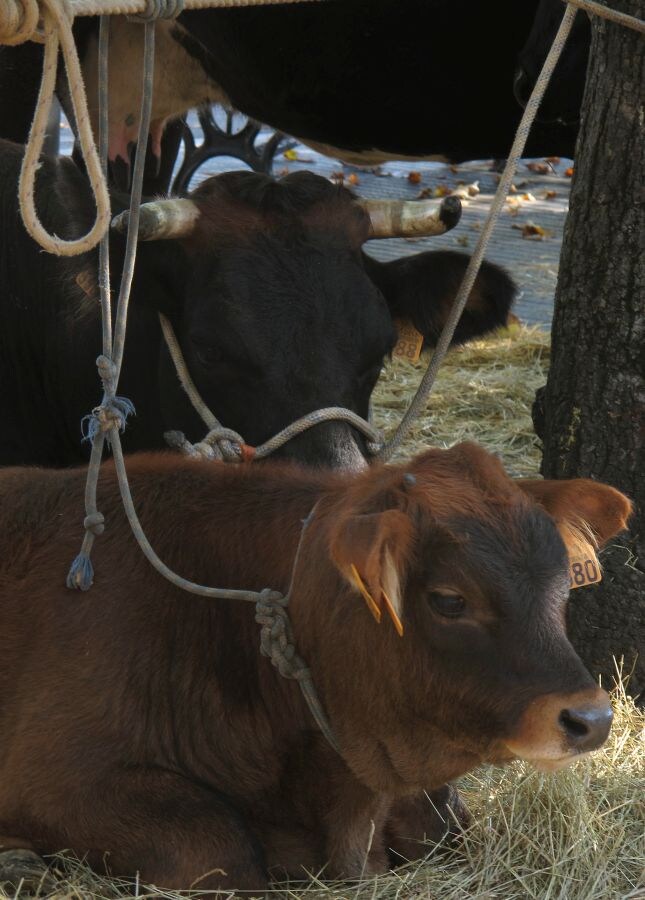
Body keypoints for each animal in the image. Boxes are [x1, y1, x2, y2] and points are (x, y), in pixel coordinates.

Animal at [0, 442, 632, 884]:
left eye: (562, 587)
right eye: (450, 600)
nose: (591, 719)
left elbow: (446, 823)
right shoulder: (55, 779)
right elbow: (220, 849)